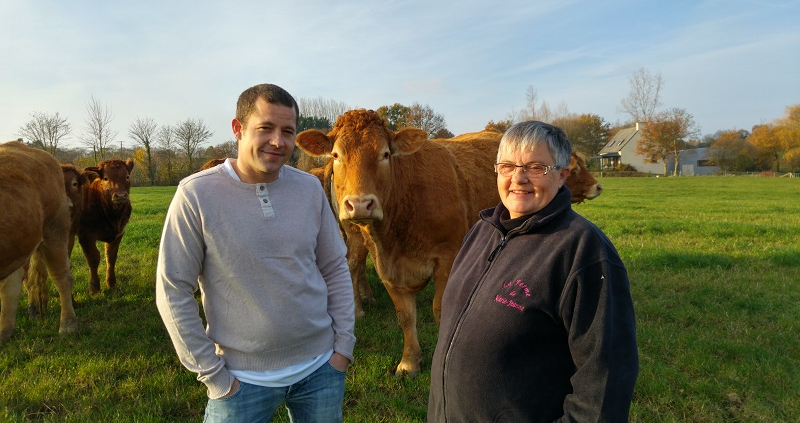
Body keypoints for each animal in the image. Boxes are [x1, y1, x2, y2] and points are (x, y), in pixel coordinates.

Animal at [77, 158, 134, 294]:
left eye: (127, 176)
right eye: (106, 178)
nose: (121, 195)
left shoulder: (119, 233)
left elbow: (111, 256)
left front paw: (111, 283)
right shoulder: (85, 235)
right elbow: (93, 258)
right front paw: (94, 287)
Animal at [296, 110, 504, 378]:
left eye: (385, 154)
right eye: (336, 155)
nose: (360, 204)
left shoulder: (447, 258)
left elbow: (440, 310)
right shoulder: (385, 265)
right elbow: (405, 316)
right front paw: (409, 362)